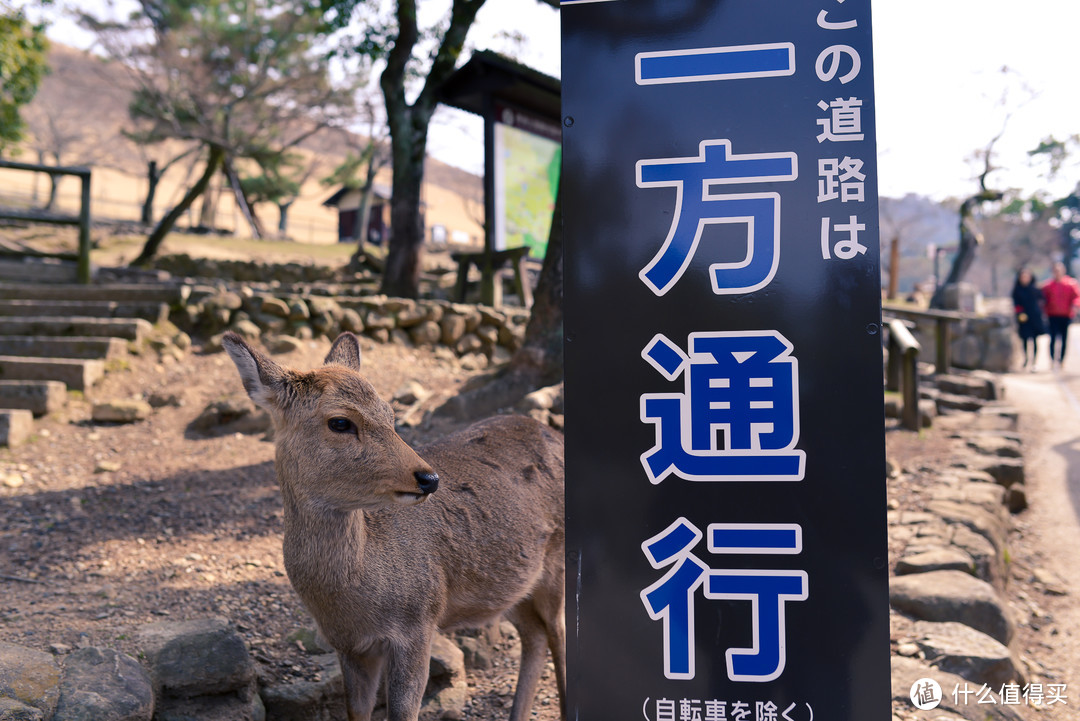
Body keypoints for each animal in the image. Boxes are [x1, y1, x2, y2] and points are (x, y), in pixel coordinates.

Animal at [223, 332, 570, 721]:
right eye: (340, 422)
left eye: (390, 414)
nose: (429, 478)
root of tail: (552, 432)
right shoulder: (349, 646)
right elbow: (356, 712)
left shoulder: (419, 623)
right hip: (514, 585)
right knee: (534, 634)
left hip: (557, 561)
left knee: (558, 631)